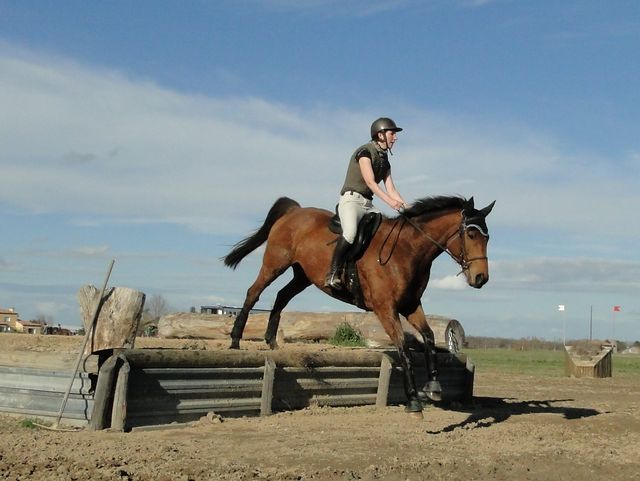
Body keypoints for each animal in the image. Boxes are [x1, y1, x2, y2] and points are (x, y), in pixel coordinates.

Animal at [223, 195, 495, 412]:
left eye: (488, 238)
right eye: (471, 234)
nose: (481, 278)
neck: (408, 250)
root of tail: (294, 211)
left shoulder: (410, 305)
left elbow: (428, 338)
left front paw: (434, 385)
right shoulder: (386, 309)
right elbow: (404, 350)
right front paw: (413, 401)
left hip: (303, 275)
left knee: (281, 296)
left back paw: (272, 341)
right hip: (275, 262)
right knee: (253, 293)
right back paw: (235, 339)